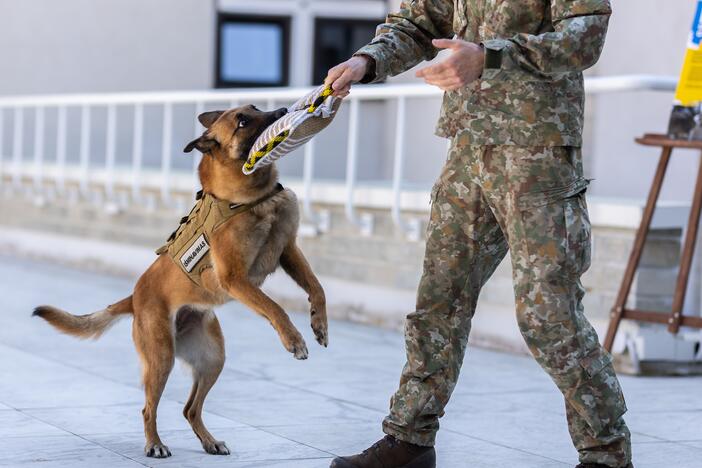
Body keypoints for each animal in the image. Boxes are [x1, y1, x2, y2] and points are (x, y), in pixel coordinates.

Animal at [33, 105, 330, 458]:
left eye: (256, 108)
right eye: (243, 122)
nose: (283, 110)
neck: (252, 198)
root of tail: (134, 297)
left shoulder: (288, 251)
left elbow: (317, 287)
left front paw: (319, 325)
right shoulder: (235, 279)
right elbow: (275, 308)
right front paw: (294, 340)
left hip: (212, 358)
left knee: (190, 408)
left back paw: (209, 441)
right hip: (161, 358)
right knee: (148, 408)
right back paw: (155, 444)